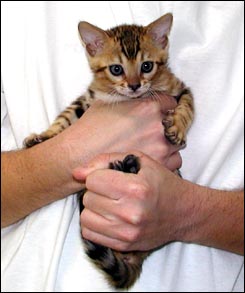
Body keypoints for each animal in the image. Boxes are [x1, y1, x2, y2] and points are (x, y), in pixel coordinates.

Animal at [23, 13, 194, 288]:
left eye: (147, 66)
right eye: (116, 69)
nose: (134, 86)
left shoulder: (180, 88)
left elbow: (188, 106)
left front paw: (178, 126)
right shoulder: (87, 100)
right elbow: (65, 117)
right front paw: (44, 136)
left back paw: (127, 167)